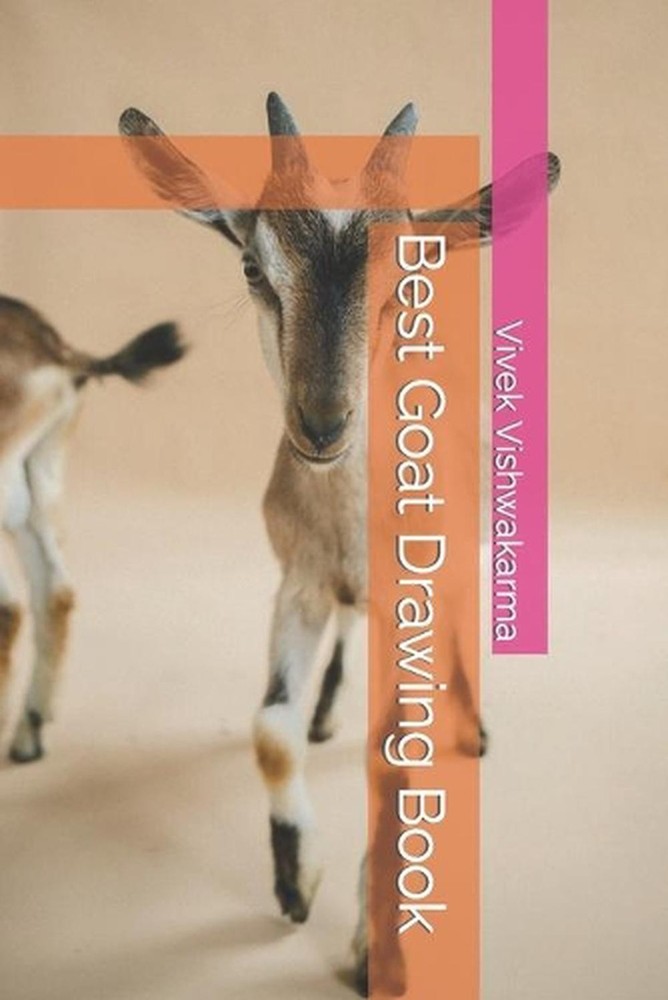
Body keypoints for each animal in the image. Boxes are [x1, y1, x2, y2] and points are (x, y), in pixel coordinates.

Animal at [119, 93, 560, 993]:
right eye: (253, 268)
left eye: (413, 273)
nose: (322, 423)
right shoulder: (298, 586)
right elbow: (268, 728)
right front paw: (297, 883)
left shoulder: (409, 602)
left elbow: (394, 755)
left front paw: (374, 951)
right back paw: (327, 714)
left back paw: (473, 728)